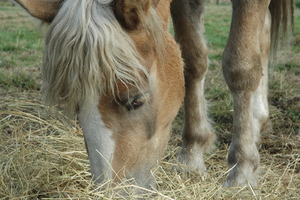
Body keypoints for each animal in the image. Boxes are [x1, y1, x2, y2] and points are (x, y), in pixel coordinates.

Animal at [12, 0, 292, 192]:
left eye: (136, 100)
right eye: (77, 107)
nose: (113, 190)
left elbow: (240, 67)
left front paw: (242, 170)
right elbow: (191, 61)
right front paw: (191, 157)